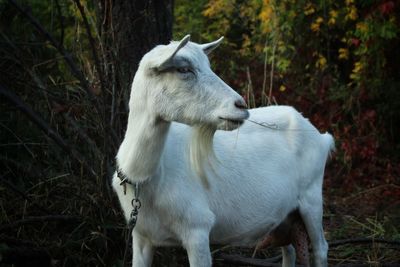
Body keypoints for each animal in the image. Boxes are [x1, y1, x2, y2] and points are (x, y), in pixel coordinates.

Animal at [111, 36, 332, 267]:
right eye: (183, 69)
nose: (241, 105)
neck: (146, 177)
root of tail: (322, 137)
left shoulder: (198, 228)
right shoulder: (141, 236)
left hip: (312, 198)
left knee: (320, 247)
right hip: (283, 214)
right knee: (289, 249)